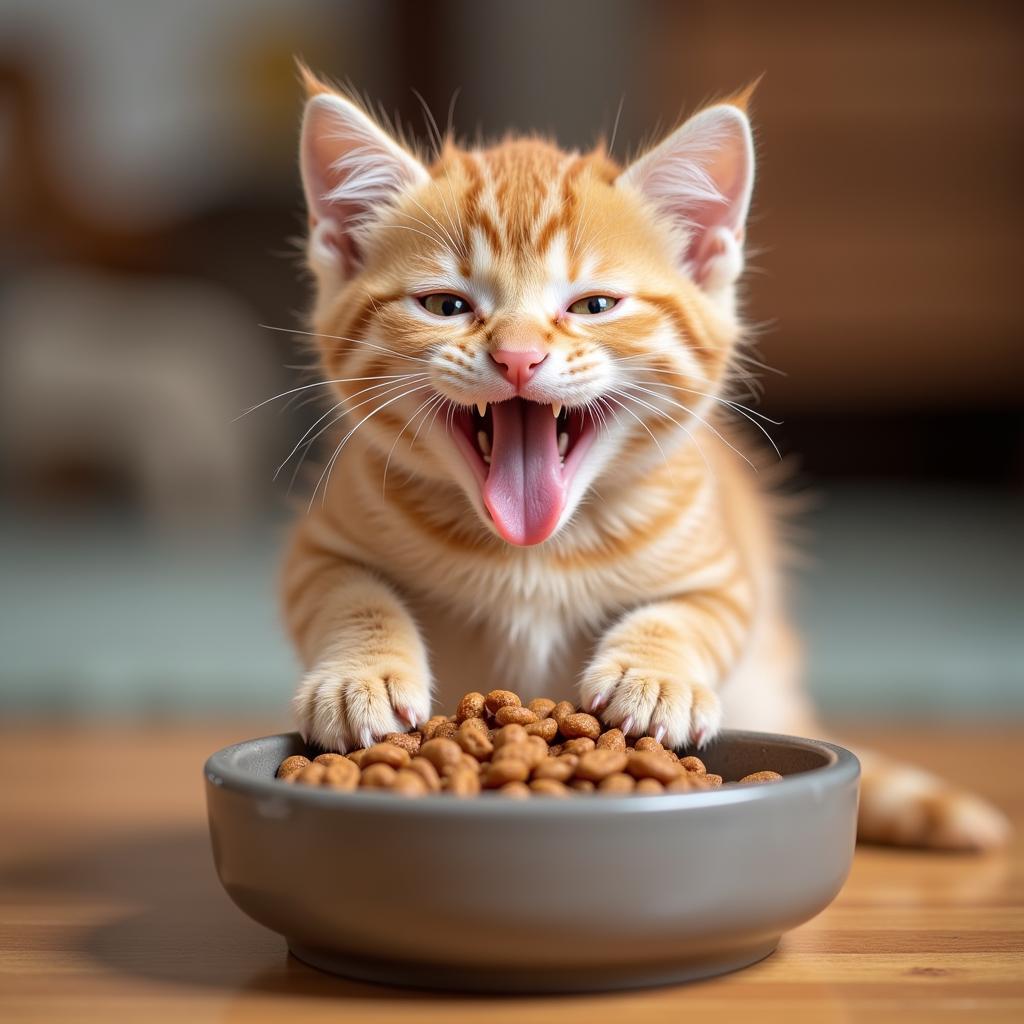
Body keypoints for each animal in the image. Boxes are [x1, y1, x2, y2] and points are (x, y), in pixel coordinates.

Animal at [280, 72, 1007, 851]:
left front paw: (655, 678)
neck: (530, 557)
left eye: (593, 305)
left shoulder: (726, 571)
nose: (517, 356)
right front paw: (361, 679)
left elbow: (691, 614)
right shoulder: (319, 543)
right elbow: (346, 593)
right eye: (445, 305)